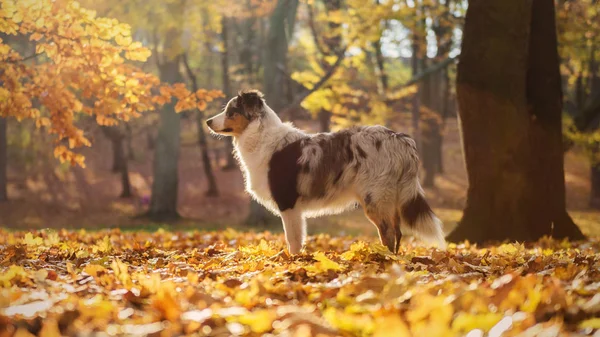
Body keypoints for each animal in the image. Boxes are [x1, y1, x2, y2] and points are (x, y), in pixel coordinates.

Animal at [206, 89, 446, 252]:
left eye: (231, 111)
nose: (207, 121)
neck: (261, 135)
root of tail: (401, 139)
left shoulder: (288, 204)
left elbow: (293, 241)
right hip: (390, 198)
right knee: (397, 232)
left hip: (376, 198)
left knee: (387, 232)